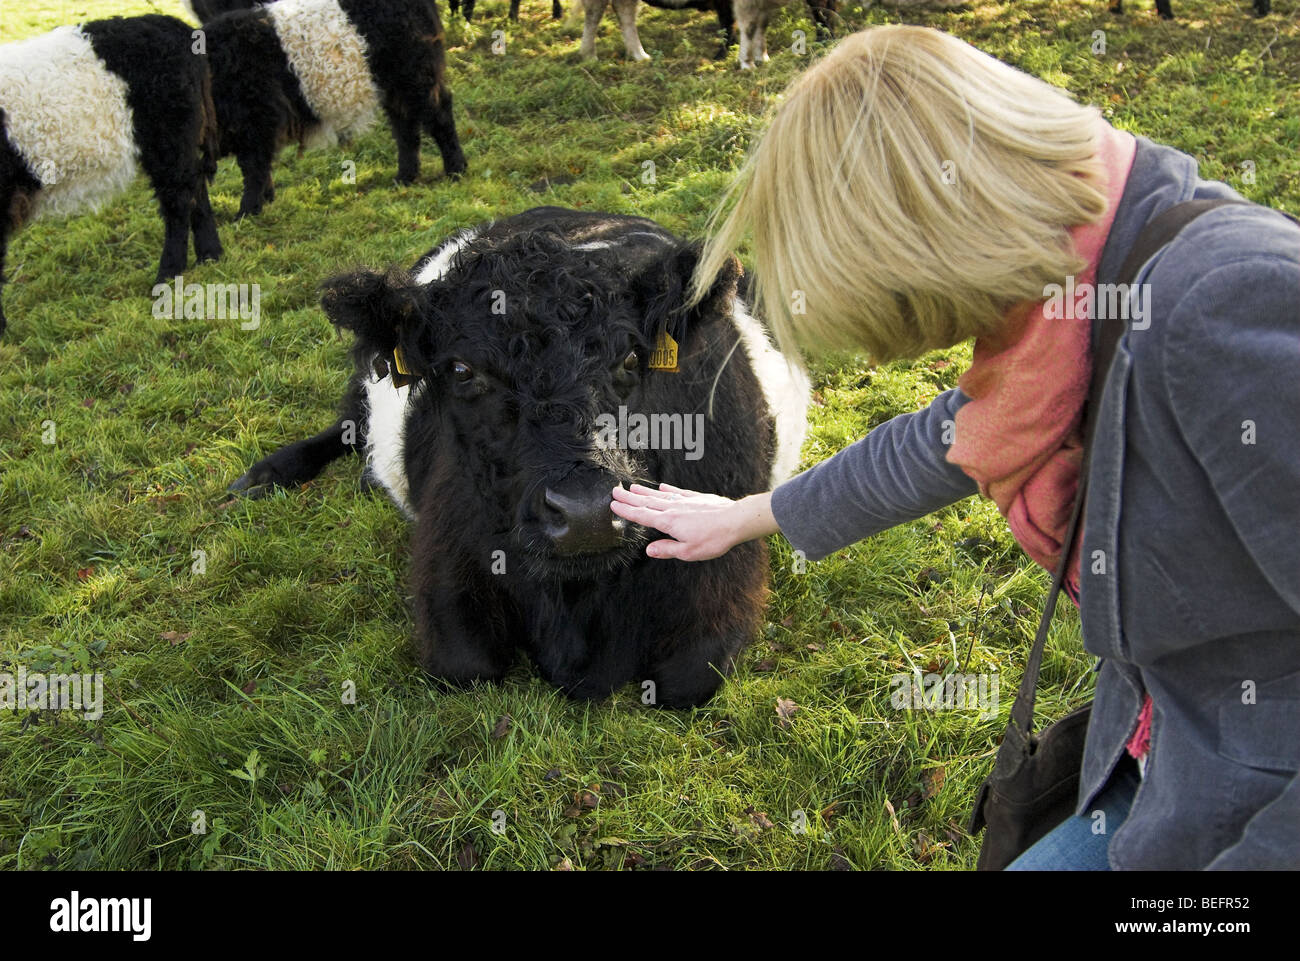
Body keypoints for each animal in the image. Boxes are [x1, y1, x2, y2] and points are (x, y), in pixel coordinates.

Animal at [0, 12, 220, 338]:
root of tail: (171, 24)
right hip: (179, 140)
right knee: (195, 187)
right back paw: (210, 256)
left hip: (167, 137)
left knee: (179, 200)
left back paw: (168, 275)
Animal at [202, 0, 467, 218]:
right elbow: (258, 167)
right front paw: (264, 201)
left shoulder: (258, 121)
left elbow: (253, 169)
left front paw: (247, 211)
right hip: (394, 85)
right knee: (406, 126)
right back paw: (404, 177)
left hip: (416, 76)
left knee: (439, 113)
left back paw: (456, 169)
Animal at [228, 206, 806, 707]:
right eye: (462, 371)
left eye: (631, 357)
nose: (585, 512)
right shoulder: (449, 556)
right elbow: (466, 665)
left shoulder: (721, 550)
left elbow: (686, 679)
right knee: (349, 422)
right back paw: (266, 473)